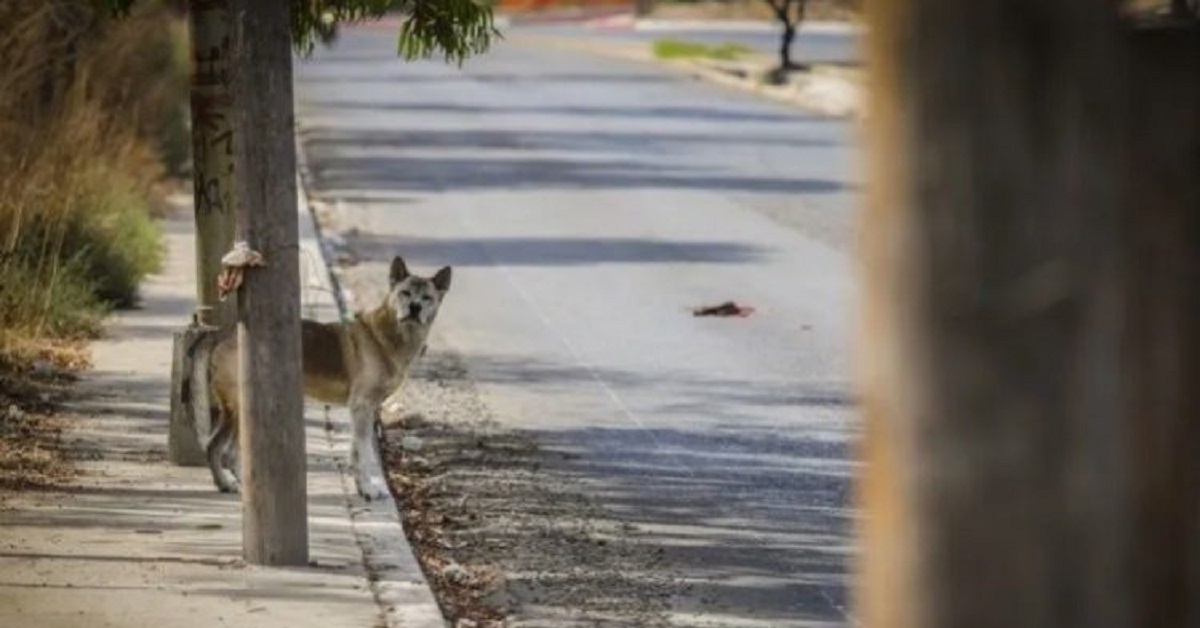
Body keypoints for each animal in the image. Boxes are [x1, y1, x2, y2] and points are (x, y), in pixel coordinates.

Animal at [206, 255, 451, 501]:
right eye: (405, 293)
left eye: (427, 297)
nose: (415, 307)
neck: (387, 337)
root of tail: (224, 341)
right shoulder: (362, 405)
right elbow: (365, 453)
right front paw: (369, 489)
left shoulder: (364, 409)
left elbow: (355, 451)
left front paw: (362, 488)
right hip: (241, 410)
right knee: (231, 453)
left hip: (231, 411)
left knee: (213, 446)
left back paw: (224, 483)